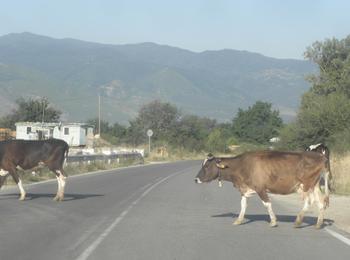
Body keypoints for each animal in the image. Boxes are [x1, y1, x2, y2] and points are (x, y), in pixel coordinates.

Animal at [196, 151, 330, 229]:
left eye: (207, 166)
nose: (196, 179)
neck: (242, 166)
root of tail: (320, 156)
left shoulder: (260, 188)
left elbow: (267, 204)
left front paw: (273, 221)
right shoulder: (244, 189)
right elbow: (243, 205)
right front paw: (238, 220)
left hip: (306, 185)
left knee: (309, 201)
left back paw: (298, 221)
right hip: (315, 185)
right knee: (320, 202)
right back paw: (318, 224)